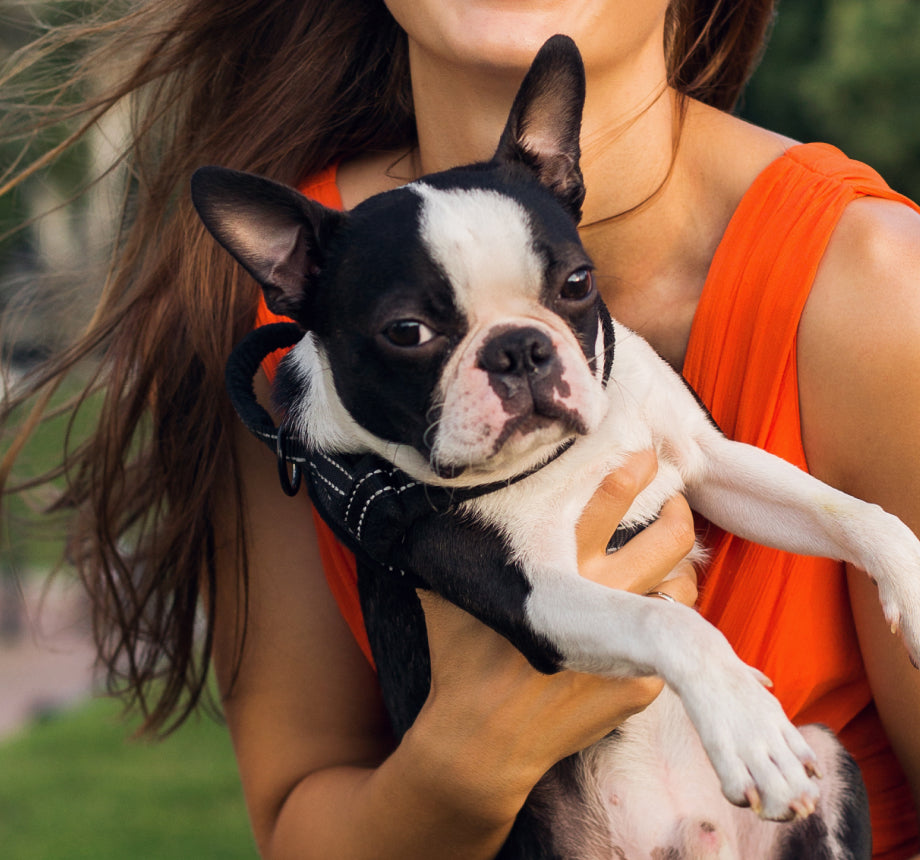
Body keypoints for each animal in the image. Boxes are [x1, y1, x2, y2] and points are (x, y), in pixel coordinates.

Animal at [190, 35, 916, 860]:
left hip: (832, 756)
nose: (519, 348)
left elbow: (854, 514)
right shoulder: (530, 594)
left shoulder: (709, 461)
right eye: (407, 332)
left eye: (576, 283)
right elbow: (667, 622)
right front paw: (746, 725)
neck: (555, 461)